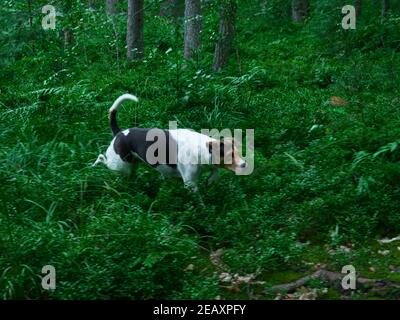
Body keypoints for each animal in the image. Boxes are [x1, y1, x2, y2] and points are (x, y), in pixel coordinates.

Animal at [93, 94, 247, 191]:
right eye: (229, 155)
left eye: (238, 152)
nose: (245, 164)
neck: (200, 149)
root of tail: (119, 132)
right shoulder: (190, 183)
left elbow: (215, 171)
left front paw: (211, 179)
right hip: (120, 165)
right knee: (103, 159)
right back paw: (96, 163)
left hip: (131, 166)